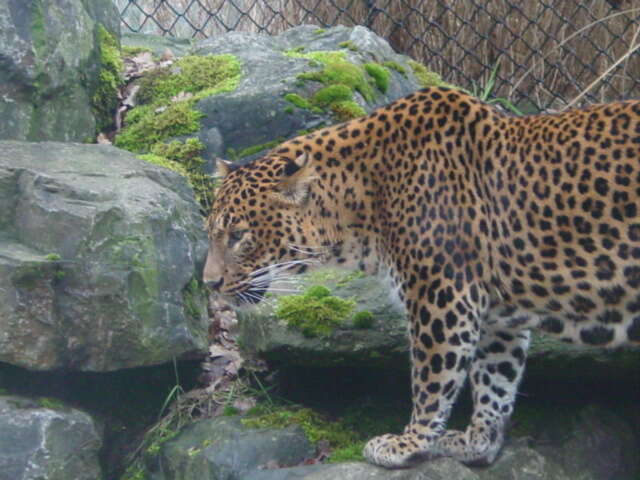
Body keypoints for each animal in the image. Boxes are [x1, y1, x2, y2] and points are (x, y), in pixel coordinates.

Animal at [202, 87, 640, 468]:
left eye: (238, 235)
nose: (209, 284)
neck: (362, 199)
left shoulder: (443, 296)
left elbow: (433, 379)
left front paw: (407, 443)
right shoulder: (495, 313)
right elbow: (496, 376)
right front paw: (478, 441)